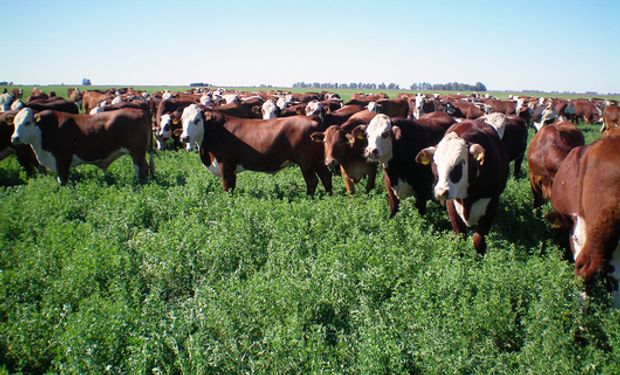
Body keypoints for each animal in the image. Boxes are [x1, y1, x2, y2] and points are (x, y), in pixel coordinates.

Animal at [6, 108, 154, 186]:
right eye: (14, 123)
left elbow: (62, 181)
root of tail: (139, 111)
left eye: (27, 122)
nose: (14, 138)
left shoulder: (62, 160)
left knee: (141, 169)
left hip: (137, 153)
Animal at [416, 120, 508, 256]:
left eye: (459, 164)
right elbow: (460, 236)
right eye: (435, 164)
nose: (441, 192)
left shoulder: (492, 205)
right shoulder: (451, 204)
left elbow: (478, 239)